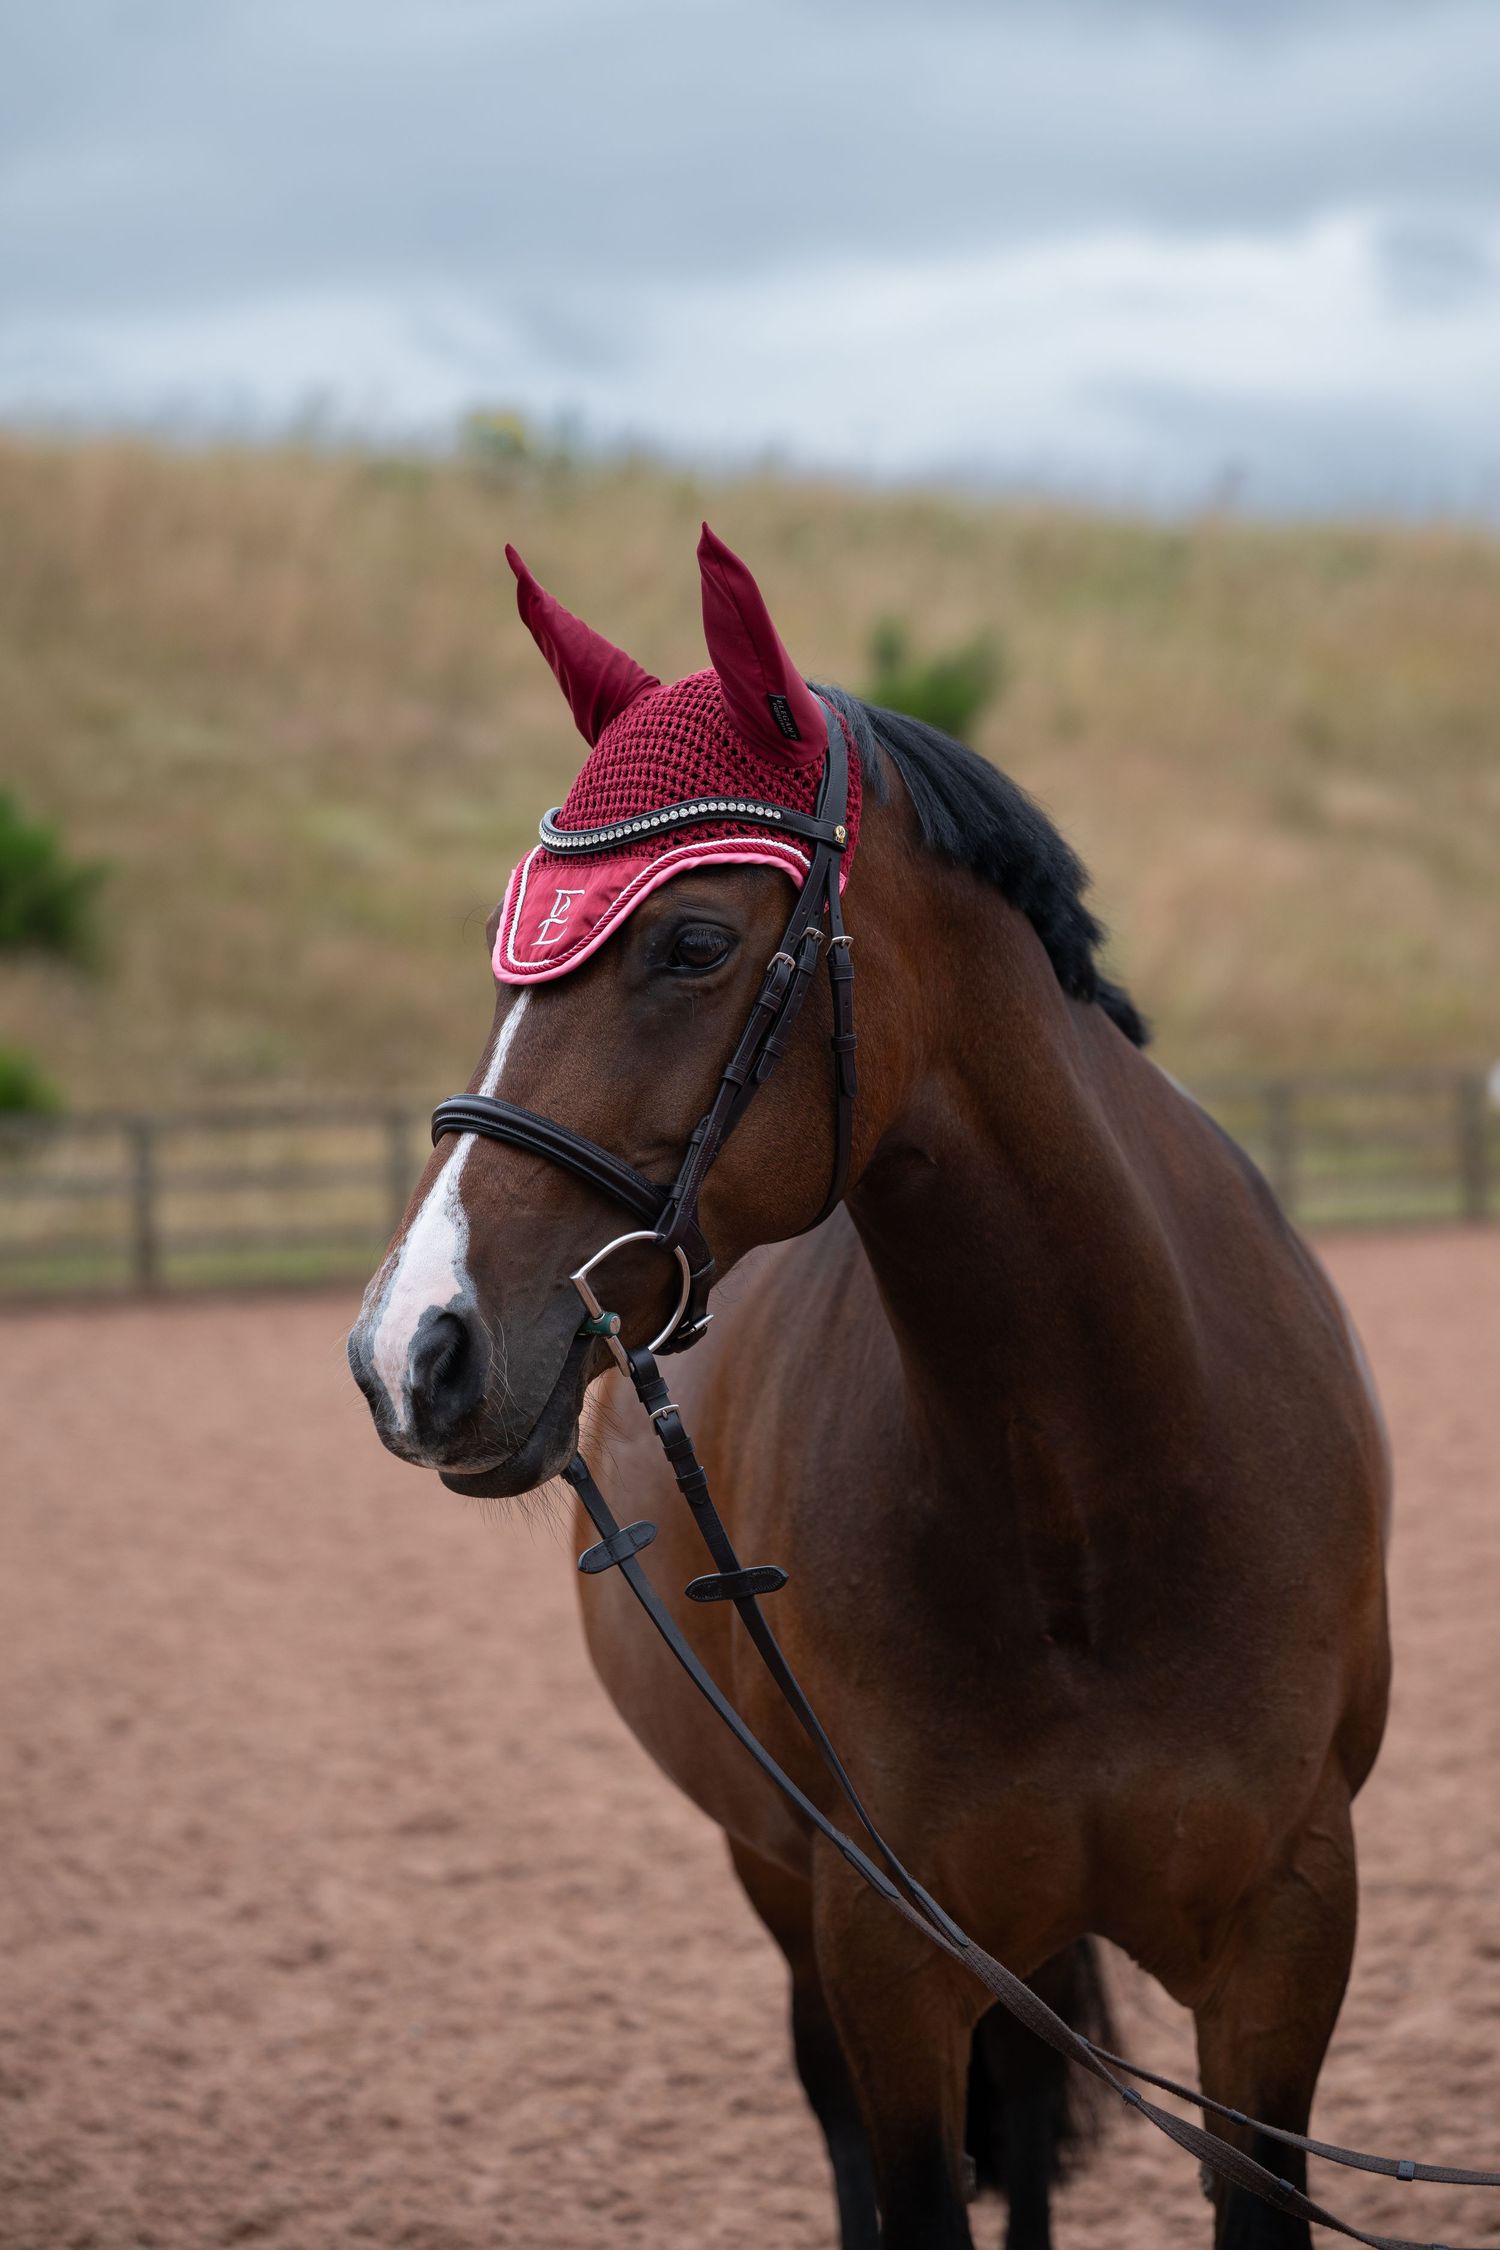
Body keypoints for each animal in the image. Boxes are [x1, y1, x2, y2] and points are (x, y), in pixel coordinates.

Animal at [348, 527, 1392, 2250]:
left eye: (695, 942)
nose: (411, 1345)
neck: (1097, 1501)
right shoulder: (886, 1947)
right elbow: (900, 2175)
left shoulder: (1283, 1942)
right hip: (782, 1876)